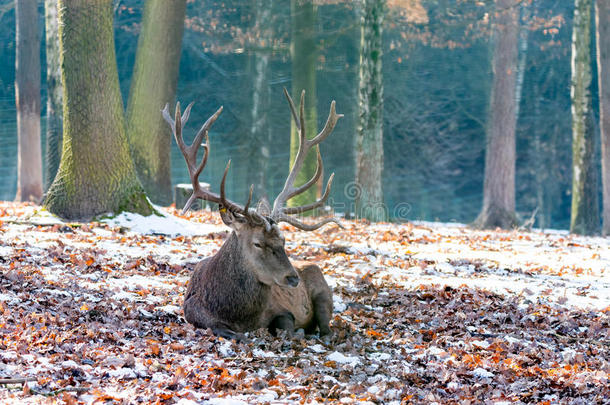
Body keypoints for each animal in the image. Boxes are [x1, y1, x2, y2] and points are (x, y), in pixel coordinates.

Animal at [162, 90, 342, 340]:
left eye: (284, 241)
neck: (236, 314)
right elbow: (222, 329)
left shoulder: (281, 310)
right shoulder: (193, 311)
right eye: (257, 243)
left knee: (326, 328)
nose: (293, 278)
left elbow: (286, 325)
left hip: (323, 291)